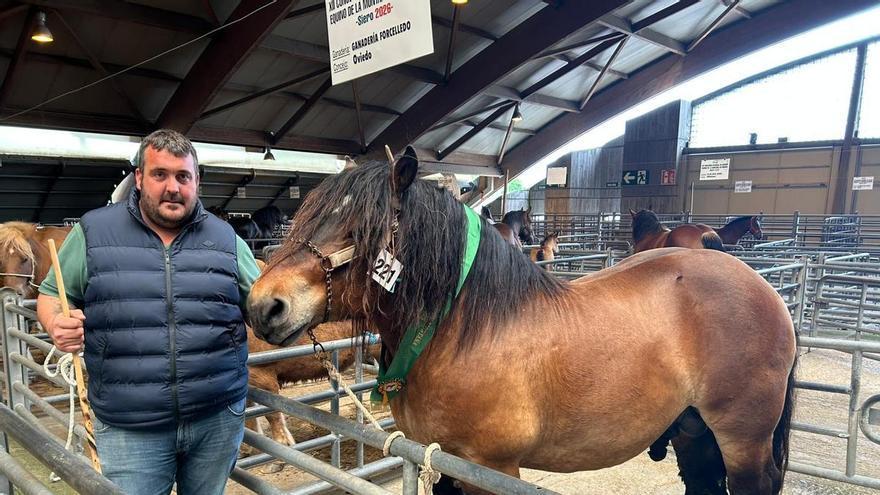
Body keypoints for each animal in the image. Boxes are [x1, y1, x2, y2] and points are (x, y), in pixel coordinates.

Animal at [247, 150, 797, 495]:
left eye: (360, 228)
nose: (262, 305)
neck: (461, 333)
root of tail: (764, 289)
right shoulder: (440, 461)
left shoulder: (492, 468)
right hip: (693, 433)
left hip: (743, 441)